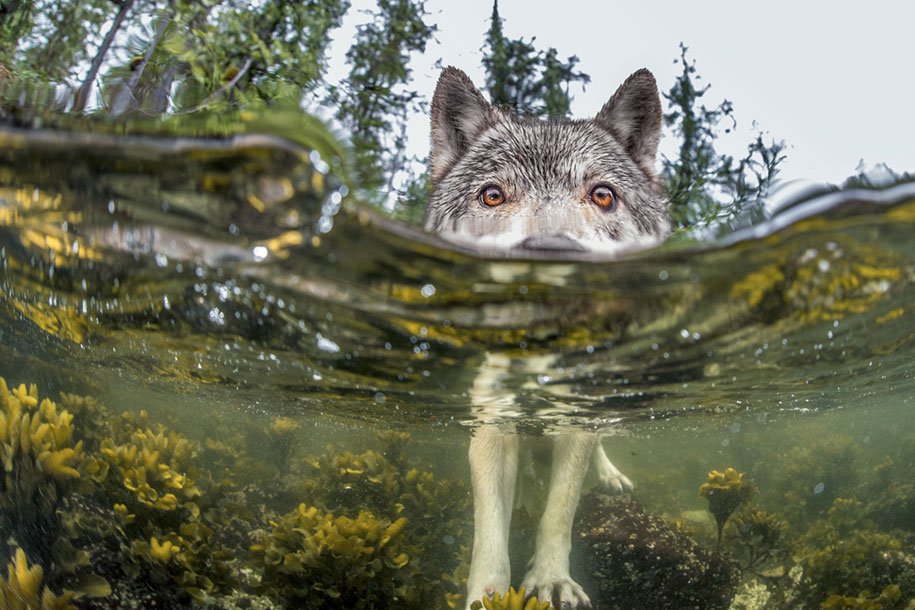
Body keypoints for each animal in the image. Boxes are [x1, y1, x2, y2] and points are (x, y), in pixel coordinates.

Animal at [426, 67, 668, 608]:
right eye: (493, 195)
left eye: (602, 195)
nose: (551, 254)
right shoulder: (492, 423)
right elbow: (489, 528)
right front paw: (487, 595)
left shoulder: (575, 419)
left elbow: (559, 510)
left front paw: (551, 581)